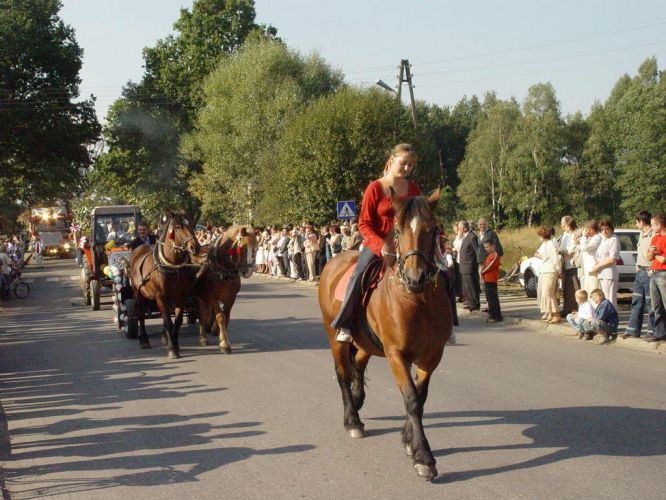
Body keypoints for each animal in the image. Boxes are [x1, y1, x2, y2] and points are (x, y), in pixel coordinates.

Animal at [129, 211, 200, 360]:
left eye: (192, 224)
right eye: (178, 227)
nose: (195, 247)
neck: (172, 266)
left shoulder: (181, 297)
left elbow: (177, 321)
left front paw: (175, 345)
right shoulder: (161, 297)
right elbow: (167, 321)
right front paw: (172, 349)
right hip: (137, 292)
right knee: (140, 313)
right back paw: (144, 340)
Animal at [316, 188, 452, 480]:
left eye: (433, 228)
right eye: (398, 230)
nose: (415, 277)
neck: (417, 302)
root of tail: (334, 261)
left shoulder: (432, 355)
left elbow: (420, 397)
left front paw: (409, 441)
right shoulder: (396, 355)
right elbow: (411, 399)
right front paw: (423, 457)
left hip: (365, 342)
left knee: (357, 366)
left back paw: (357, 400)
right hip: (335, 338)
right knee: (343, 374)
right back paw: (352, 420)